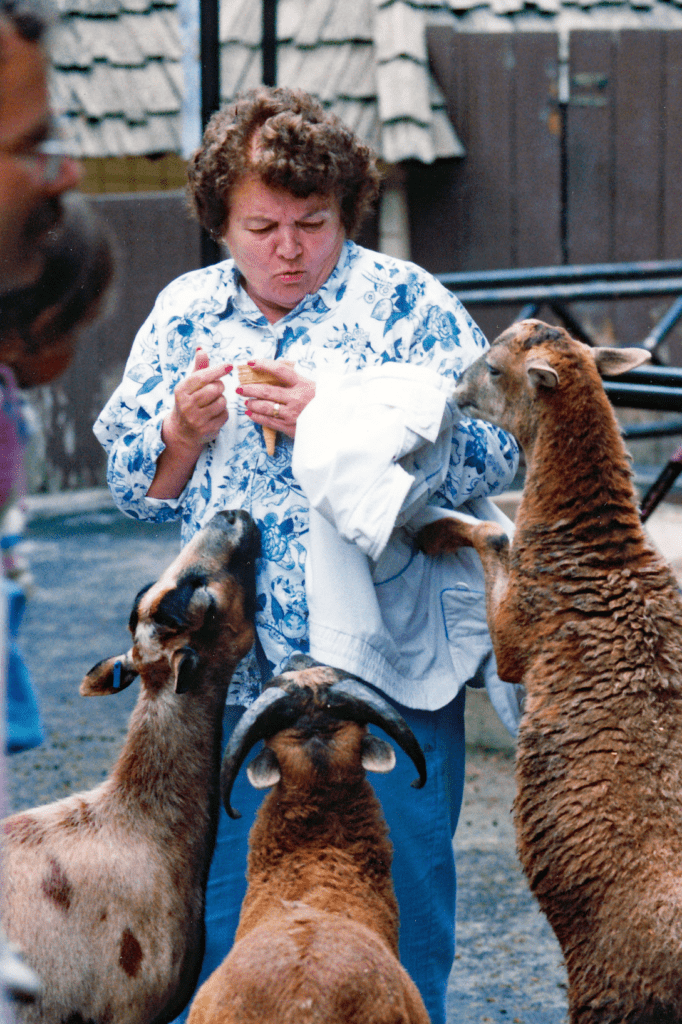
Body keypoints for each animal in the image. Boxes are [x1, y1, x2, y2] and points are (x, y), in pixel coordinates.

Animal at [413, 319, 682, 1024]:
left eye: (494, 368)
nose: (453, 386)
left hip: (608, 988)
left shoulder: (519, 634)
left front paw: (431, 533)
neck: (596, 552)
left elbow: (492, 535)